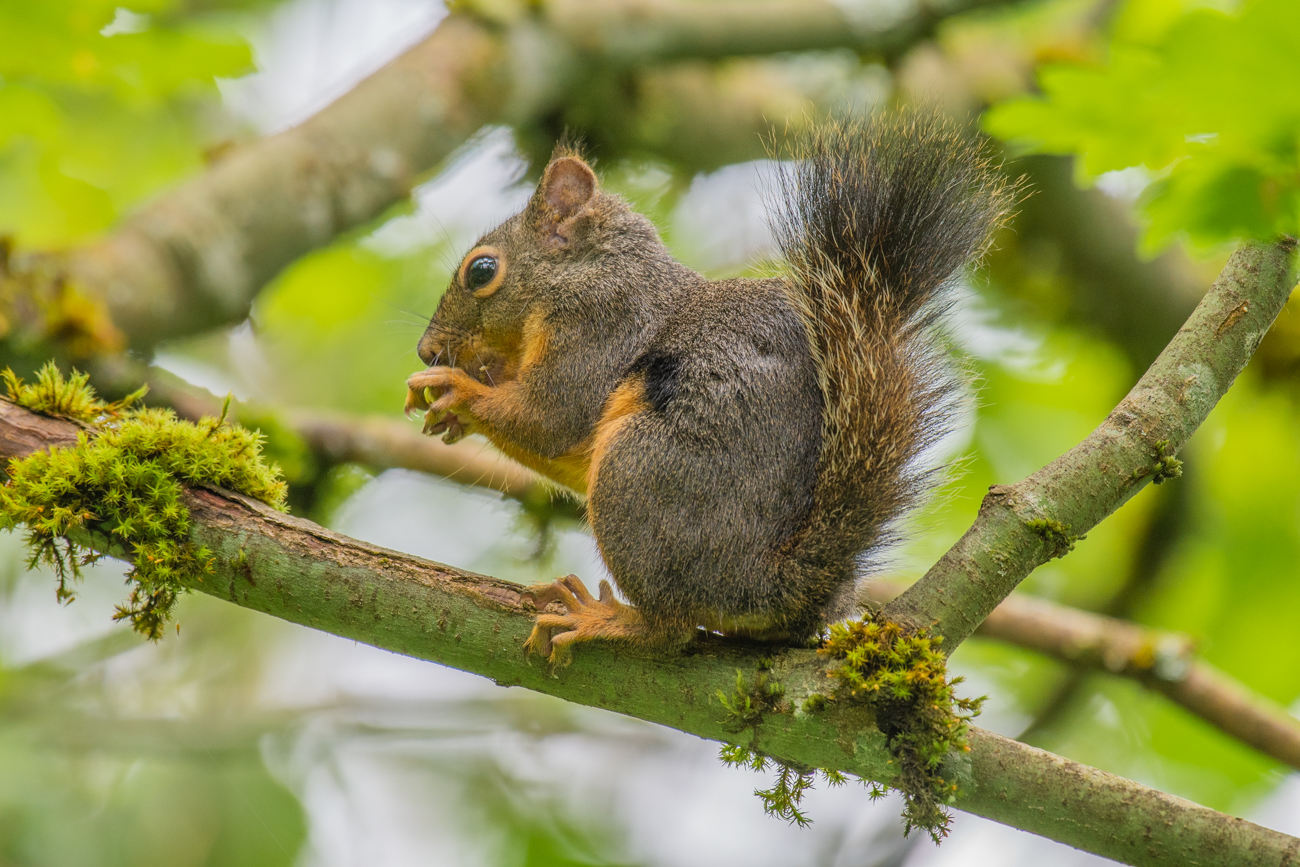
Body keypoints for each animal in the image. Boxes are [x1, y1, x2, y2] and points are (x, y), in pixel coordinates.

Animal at [405, 111, 1013, 660]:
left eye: (482, 271)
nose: (427, 350)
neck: (588, 273)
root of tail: (777, 585)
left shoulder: (599, 323)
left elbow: (550, 419)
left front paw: (456, 389)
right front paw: (452, 403)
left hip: (636, 473)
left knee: (671, 628)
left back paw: (604, 618)